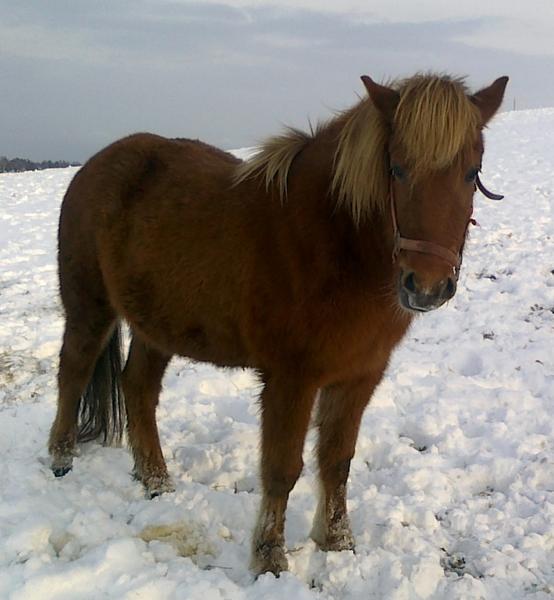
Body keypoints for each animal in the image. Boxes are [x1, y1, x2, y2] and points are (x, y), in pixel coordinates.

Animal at [49, 72, 506, 576]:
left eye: (472, 172)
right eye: (398, 169)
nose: (426, 287)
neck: (333, 245)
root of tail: (95, 165)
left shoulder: (360, 376)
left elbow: (337, 461)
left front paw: (338, 542)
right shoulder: (291, 379)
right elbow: (282, 468)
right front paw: (269, 558)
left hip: (157, 325)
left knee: (138, 389)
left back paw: (155, 480)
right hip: (89, 307)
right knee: (74, 372)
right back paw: (62, 457)